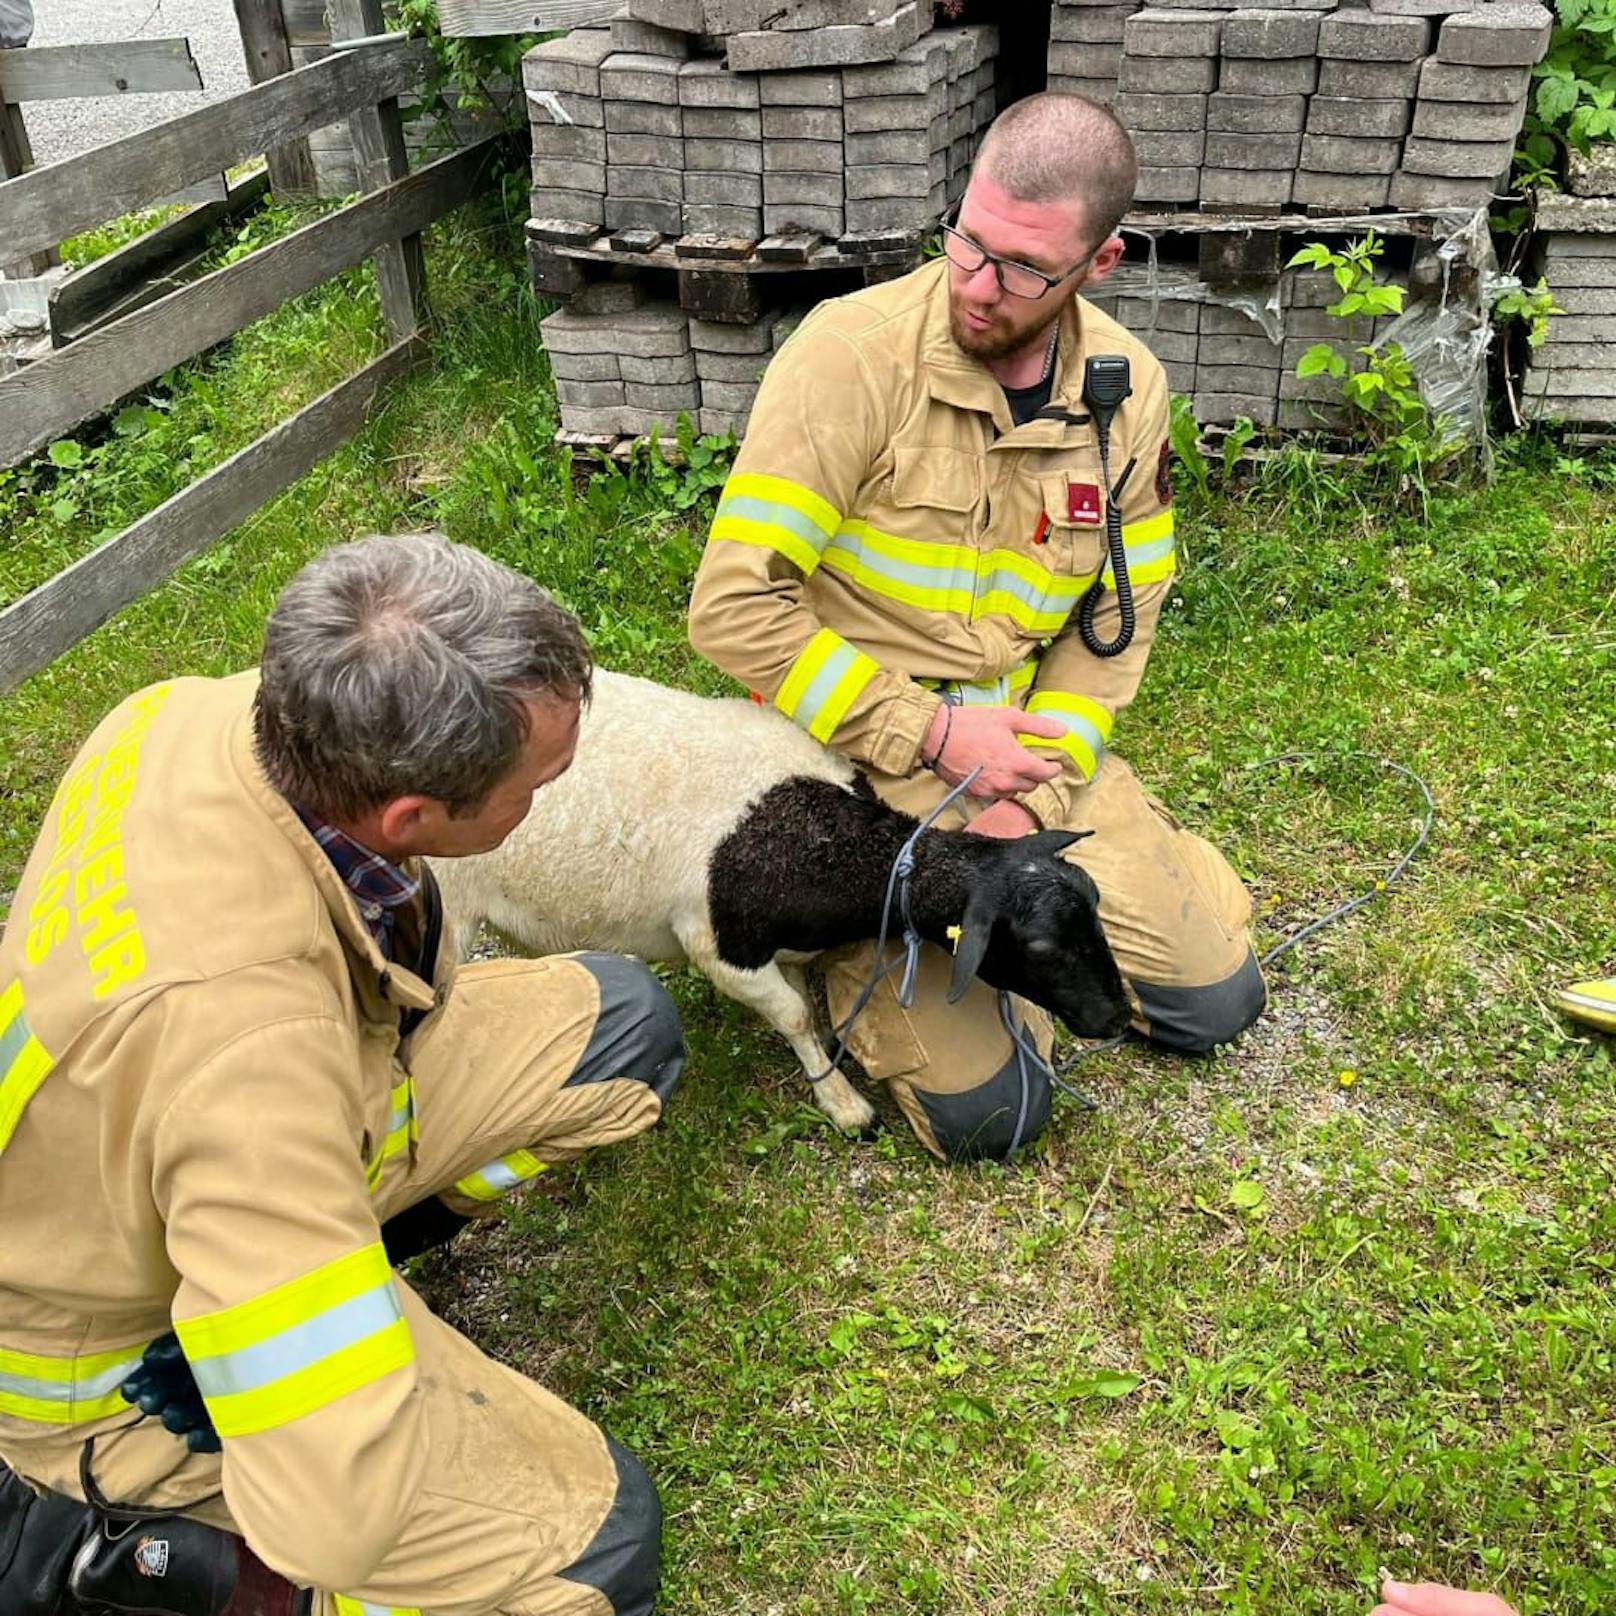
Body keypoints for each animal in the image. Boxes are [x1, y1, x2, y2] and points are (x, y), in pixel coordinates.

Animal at [436, 669, 1131, 1137]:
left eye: (1094, 906)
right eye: (1041, 947)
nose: (1119, 1019)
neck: (833, 843)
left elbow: (803, 997)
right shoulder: (720, 948)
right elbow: (794, 1015)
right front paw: (843, 1103)